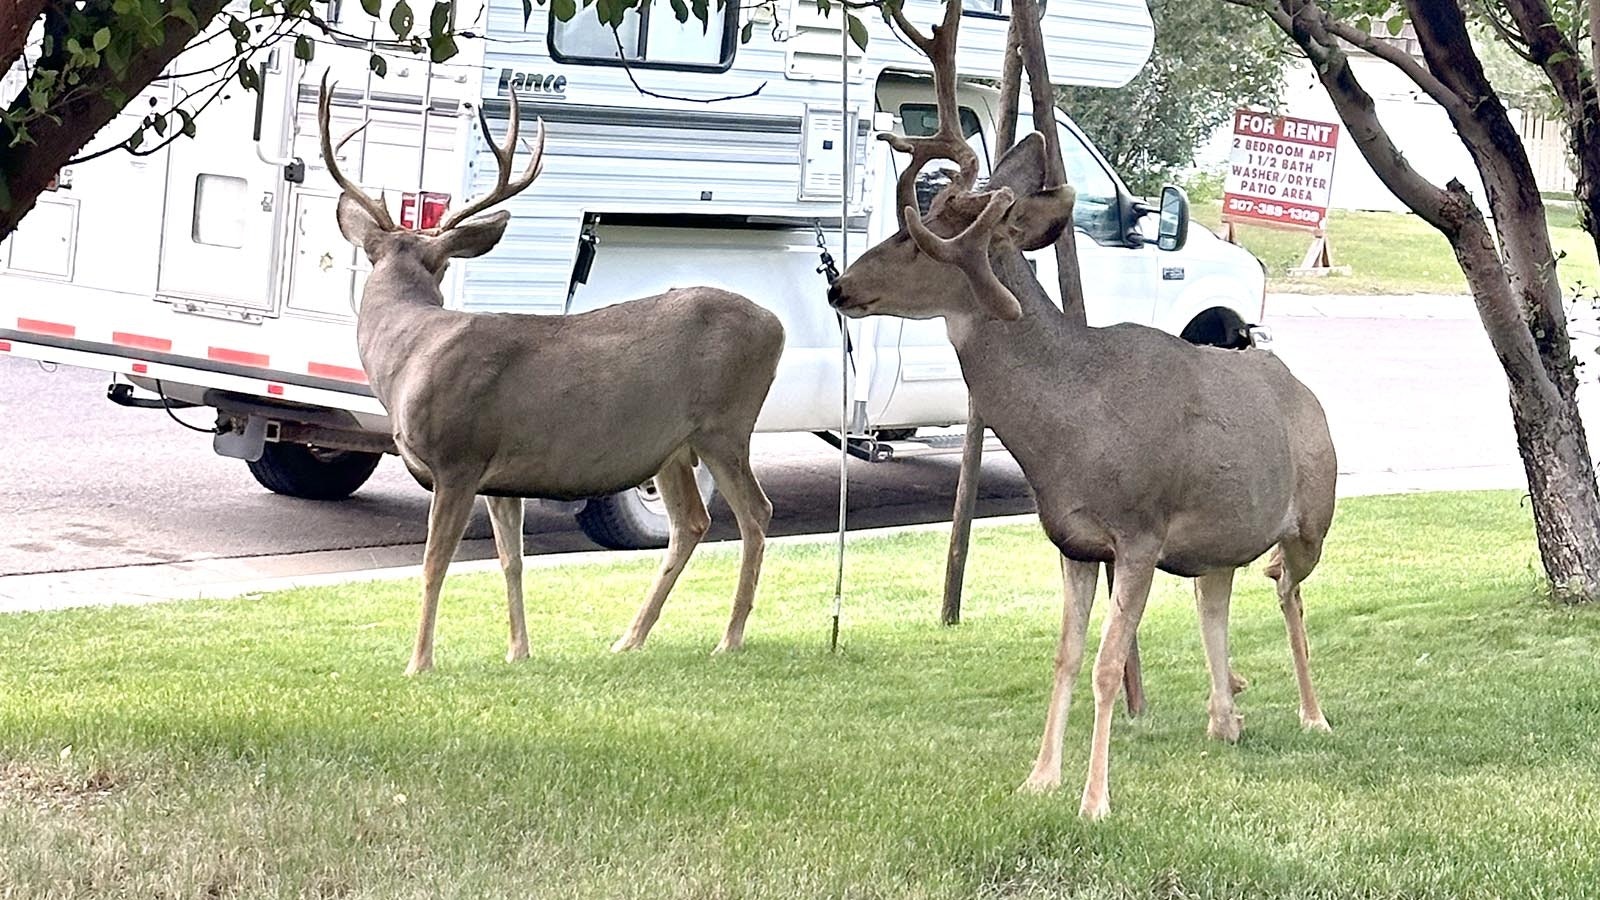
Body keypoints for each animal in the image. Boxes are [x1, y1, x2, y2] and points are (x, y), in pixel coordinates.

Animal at [316, 78, 780, 672]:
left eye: (440, 263)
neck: (408, 353)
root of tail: (776, 326)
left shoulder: (459, 457)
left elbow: (434, 564)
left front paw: (419, 662)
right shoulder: (500, 475)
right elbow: (510, 561)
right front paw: (519, 651)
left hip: (726, 427)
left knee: (755, 513)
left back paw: (730, 636)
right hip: (675, 447)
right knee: (691, 523)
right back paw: (630, 638)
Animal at [825, 0, 1337, 816]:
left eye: (917, 235)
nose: (839, 285)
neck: (1071, 420)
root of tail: (1305, 392)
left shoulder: (1139, 531)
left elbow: (1105, 664)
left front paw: (1095, 799)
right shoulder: (1071, 540)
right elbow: (1065, 657)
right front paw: (1039, 778)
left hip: (1314, 516)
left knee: (1288, 592)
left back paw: (1313, 714)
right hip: (1218, 537)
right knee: (1219, 594)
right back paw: (1225, 716)